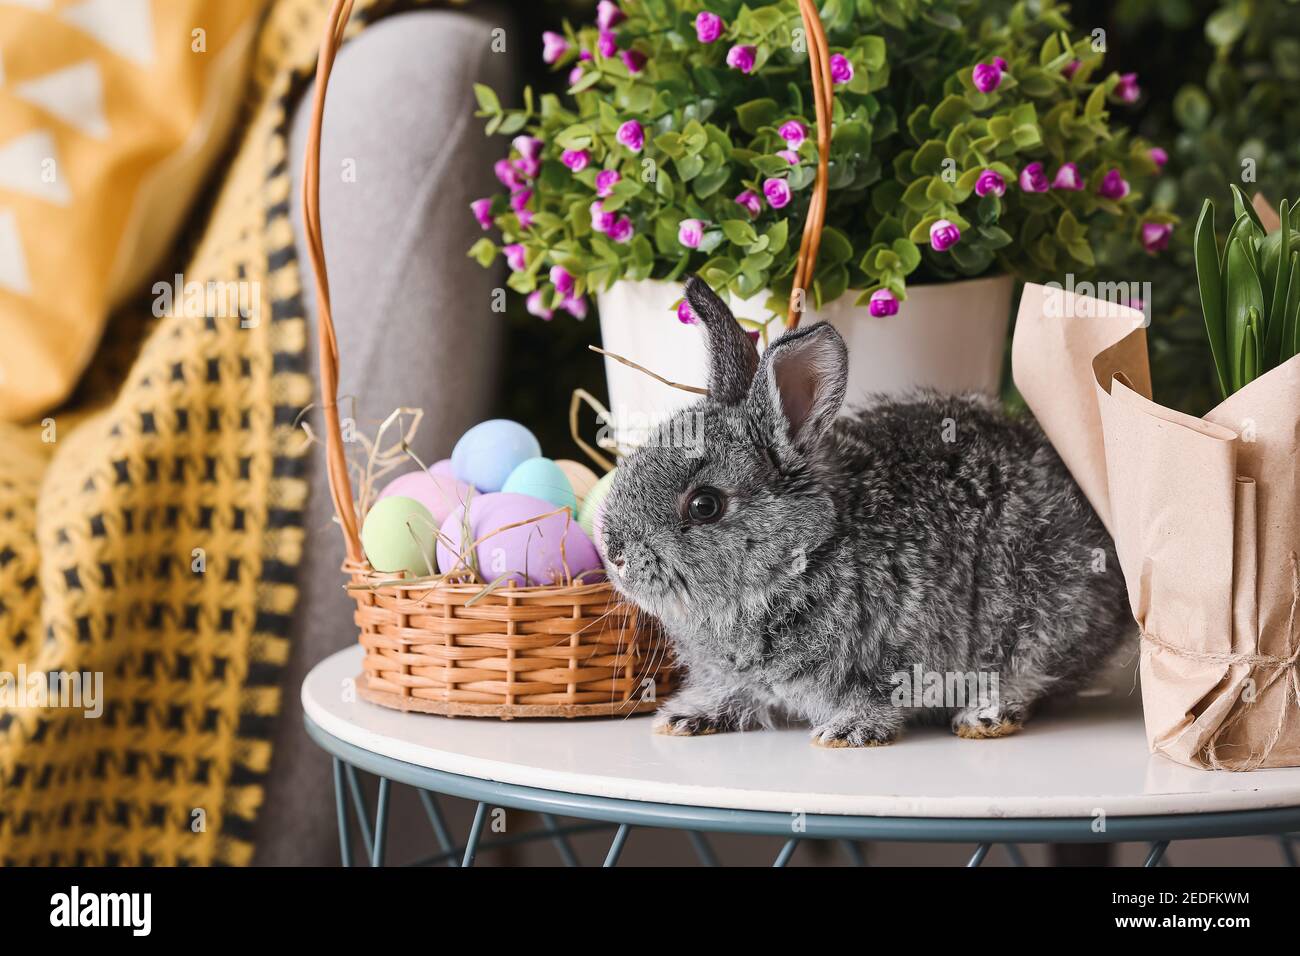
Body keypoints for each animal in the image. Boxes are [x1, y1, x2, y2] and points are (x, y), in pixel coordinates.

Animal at [600, 276, 1132, 747]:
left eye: (705, 504)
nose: (615, 553)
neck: (807, 554)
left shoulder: (897, 653)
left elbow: (876, 697)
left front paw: (848, 732)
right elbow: (736, 695)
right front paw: (688, 717)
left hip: (1046, 612)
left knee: (1031, 673)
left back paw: (984, 716)